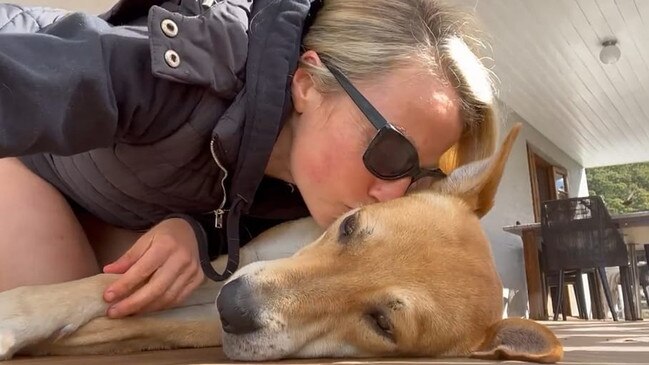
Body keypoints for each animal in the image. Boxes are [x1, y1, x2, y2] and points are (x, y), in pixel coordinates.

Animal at [0, 123, 560, 362]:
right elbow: (94, 286)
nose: (233, 307)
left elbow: (141, 324)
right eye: (349, 226)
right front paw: (22, 314)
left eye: (382, 323)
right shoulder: (239, 259)